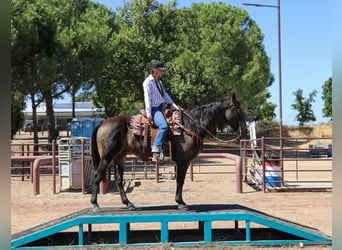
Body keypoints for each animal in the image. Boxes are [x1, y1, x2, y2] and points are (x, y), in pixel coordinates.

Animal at [89, 94, 247, 211]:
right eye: (238, 111)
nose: (244, 131)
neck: (190, 126)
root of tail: (103, 123)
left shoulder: (184, 162)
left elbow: (180, 180)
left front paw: (180, 201)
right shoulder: (183, 161)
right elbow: (180, 180)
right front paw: (181, 203)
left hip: (120, 157)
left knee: (119, 180)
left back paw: (128, 204)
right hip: (107, 157)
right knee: (97, 175)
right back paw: (95, 204)